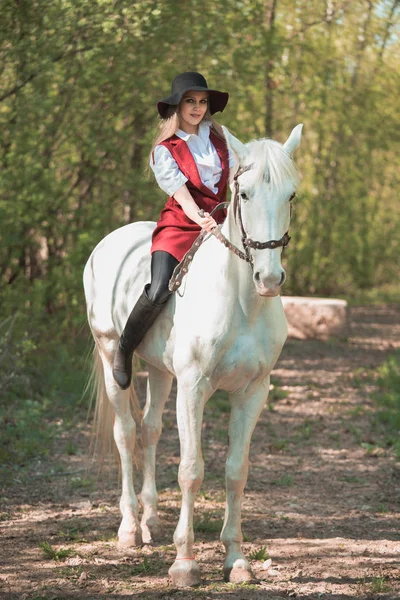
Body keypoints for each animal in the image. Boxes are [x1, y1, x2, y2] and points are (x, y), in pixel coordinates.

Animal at [84, 124, 304, 588]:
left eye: (291, 195)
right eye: (244, 194)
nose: (269, 279)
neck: (242, 301)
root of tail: (108, 242)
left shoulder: (252, 392)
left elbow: (236, 471)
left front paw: (236, 559)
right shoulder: (194, 388)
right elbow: (191, 469)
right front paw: (184, 561)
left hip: (160, 370)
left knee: (149, 430)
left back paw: (150, 520)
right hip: (113, 356)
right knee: (124, 433)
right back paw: (129, 529)